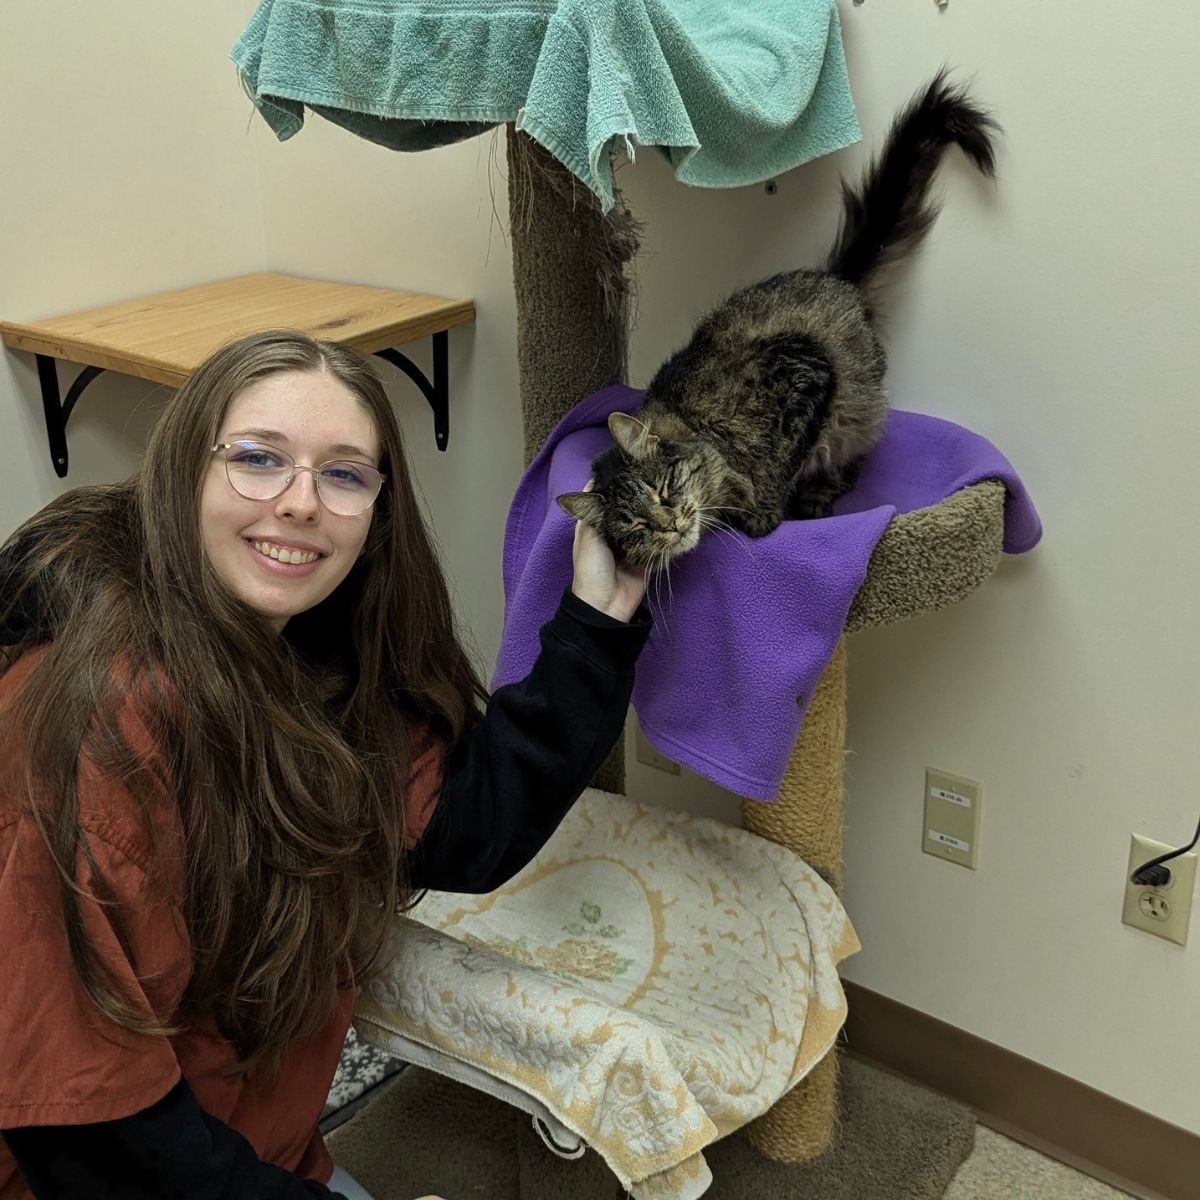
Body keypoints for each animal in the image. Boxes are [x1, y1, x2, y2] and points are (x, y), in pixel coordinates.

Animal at [556, 72, 998, 568]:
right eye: (636, 525)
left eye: (664, 489)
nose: (669, 525)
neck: (696, 429)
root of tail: (834, 278)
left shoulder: (805, 370)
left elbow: (777, 467)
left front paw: (762, 512)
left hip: (852, 412)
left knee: (850, 458)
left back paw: (817, 495)